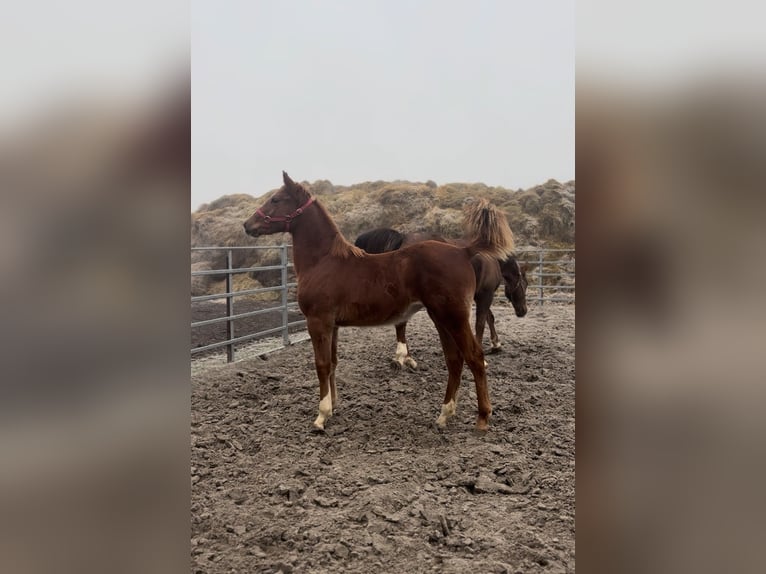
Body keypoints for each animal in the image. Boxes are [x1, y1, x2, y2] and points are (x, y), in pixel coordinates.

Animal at [354, 228, 528, 369]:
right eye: (524, 284)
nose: (523, 311)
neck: (490, 259)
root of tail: (403, 238)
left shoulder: (479, 295)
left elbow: (489, 318)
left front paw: (496, 344)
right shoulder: (485, 294)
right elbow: (481, 323)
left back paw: (407, 358)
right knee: (401, 324)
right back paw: (402, 357)